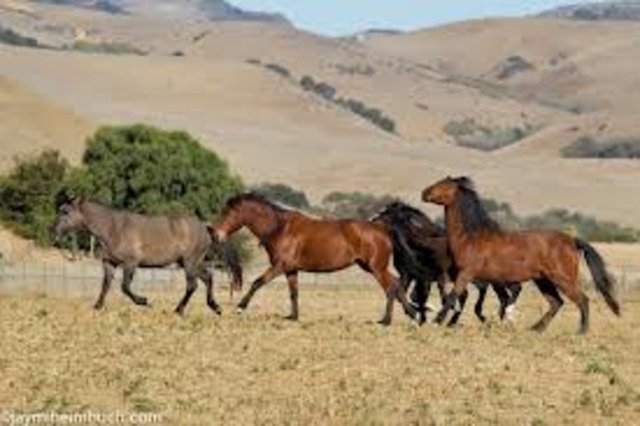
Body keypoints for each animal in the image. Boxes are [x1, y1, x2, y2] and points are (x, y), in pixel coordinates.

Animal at [54, 197, 243, 315]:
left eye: (66, 212)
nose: (54, 231)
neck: (113, 228)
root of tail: (205, 226)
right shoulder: (109, 263)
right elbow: (105, 286)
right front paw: (97, 307)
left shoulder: (130, 263)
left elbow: (125, 287)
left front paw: (144, 301)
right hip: (192, 263)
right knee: (207, 278)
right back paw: (215, 307)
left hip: (190, 263)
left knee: (192, 285)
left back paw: (179, 310)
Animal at [206, 193, 417, 325]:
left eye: (229, 212)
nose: (215, 234)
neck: (280, 228)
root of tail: (382, 228)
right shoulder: (291, 270)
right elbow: (294, 293)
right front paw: (292, 316)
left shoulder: (279, 266)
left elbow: (257, 282)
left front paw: (240, 307)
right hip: (370, 266)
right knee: (396, 284)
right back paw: (413, 315)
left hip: (376, 268)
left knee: (390, 287)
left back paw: (386, 321)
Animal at [372, 201, 522, 325]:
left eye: (387, 213)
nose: (373, 221)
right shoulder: (410, 275)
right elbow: (402, 293)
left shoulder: (431, 276)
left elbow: (426, 296)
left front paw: (427, 314)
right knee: (499, 295)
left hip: (494, 278)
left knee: (510, 289)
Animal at [421, 176, 621, 334]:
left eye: (444, 185)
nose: (424, 192)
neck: (471, 238)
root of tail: (572, 240)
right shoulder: (494, 280)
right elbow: (498, 301)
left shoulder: (467, 274)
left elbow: (453, 296)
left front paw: (436, 322)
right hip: (543, 280)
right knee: (556, 302)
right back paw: (535, 329)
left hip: (562, 278)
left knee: (582, 300)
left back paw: (581, 331)